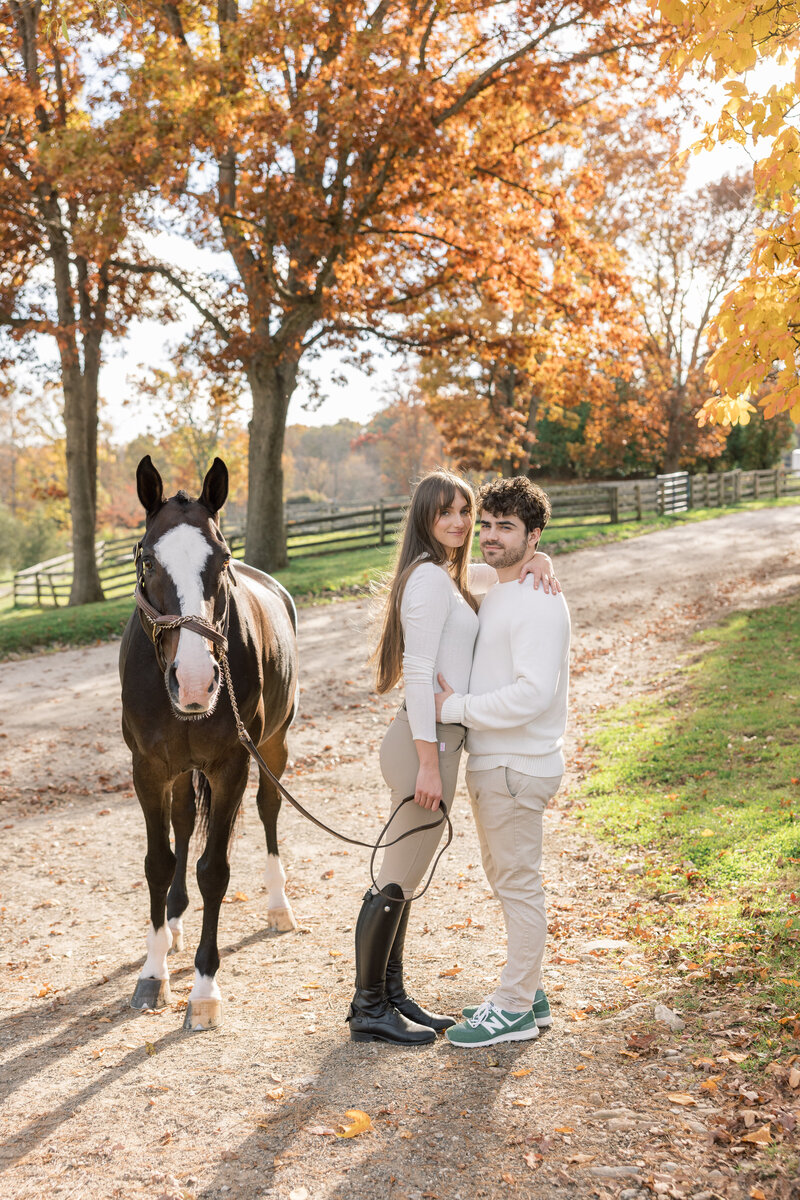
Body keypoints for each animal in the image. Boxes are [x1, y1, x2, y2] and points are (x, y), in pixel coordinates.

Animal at [117, 458, 296, 1032]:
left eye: (221, 559)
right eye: (148, 560)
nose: (194, 682)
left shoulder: (231, 766)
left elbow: (213, 871)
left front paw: (203, 988)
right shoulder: (149, 769)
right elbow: (158, 861)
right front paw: (153, 973)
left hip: (274, 746)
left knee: (268, 809)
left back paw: (278, 905)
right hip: (177, 773)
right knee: (179, 823)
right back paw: (174, 921)